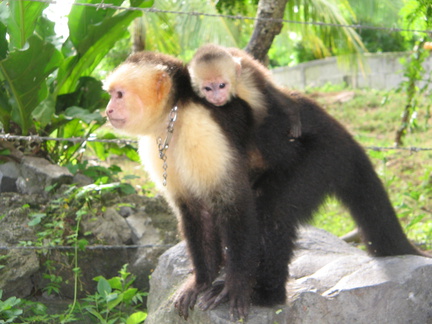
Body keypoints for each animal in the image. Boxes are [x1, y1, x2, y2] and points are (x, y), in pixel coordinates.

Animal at [105, 50, 428, 322]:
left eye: (119, 94)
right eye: (110, 95)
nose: (107, 110)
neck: (175, 114)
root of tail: (342, 131)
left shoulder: (204, 129)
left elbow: (235, 203)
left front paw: (234, 286)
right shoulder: (155, 145)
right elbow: (195, 211)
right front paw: (201, 282)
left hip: (323, 157)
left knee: (272, 211)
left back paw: (265, 294)